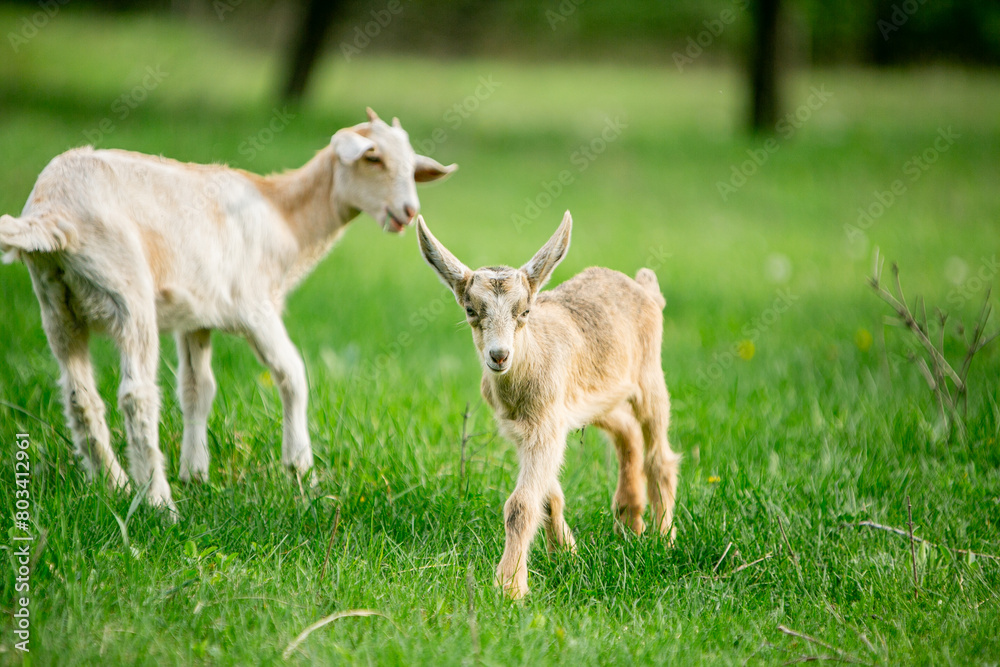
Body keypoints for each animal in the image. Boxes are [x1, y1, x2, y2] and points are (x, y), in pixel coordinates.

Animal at [0, 108, 456, 515]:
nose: (408, 212)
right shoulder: (254, 306)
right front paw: (301, 472)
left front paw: (196, 473)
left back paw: (113, 484)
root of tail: (53, 216)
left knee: (80, 396)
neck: (285, 219)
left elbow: (197, 389)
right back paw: (158, 503)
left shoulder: (196, 319)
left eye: (413, 168)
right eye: (373, 158)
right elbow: (293, 374)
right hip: (126, 291)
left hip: (56, 304)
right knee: (136, 395)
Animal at [416, 210, 680, 599]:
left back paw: (664, 536)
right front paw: (566, 553)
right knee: (627, 429)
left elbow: (521, 504)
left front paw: (510, 587)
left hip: (649, 376)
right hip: (596, 397)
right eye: (470, 309)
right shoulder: (528, 428)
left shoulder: (546, 425)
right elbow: (546, 495)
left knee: (659, 455)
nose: (499, 355)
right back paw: (630, 520)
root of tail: (644, 288)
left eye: (524, 310)